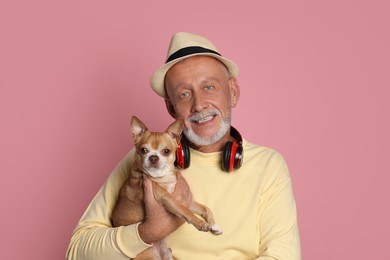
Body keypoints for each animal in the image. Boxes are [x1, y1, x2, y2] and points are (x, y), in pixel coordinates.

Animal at [111, 116, 221, 260]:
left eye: (166, 151)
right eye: (143, 150)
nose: (153, 157)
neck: (163, 176)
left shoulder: (188, 201)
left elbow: (205, 208)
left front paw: (214, 225)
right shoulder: (167, 198)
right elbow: (184, 210)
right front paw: (201, 224)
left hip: (168, 254)